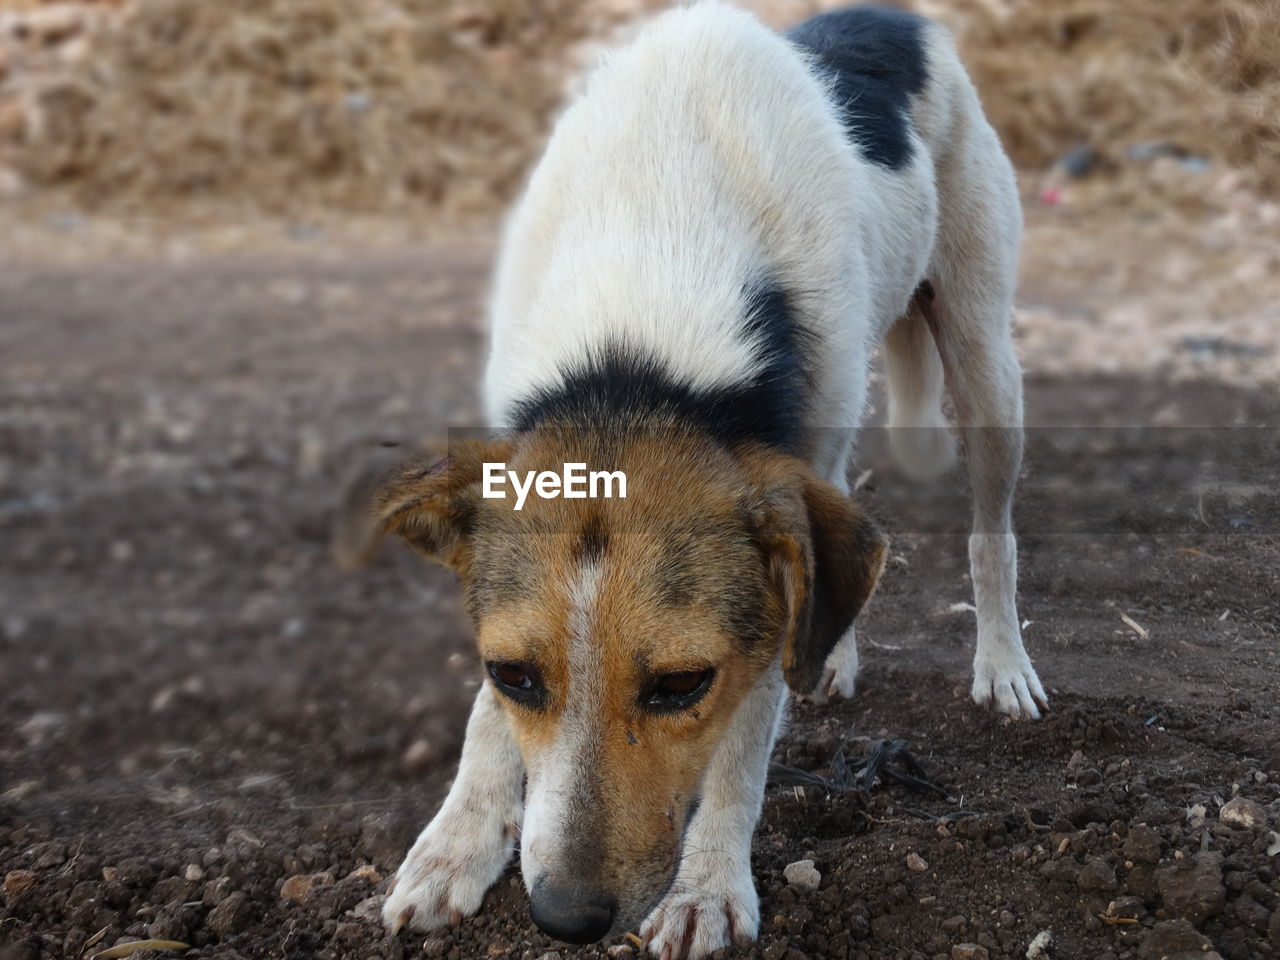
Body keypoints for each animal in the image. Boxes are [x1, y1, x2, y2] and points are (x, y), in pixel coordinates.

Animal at [360, 3, 1049, 957]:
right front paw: (455, 843)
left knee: (990, 535)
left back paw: (1002, 663)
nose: (565, 919)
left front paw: (709, 887)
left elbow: (746, 736)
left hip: (984, 358)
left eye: (682, 685)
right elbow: (480, 720)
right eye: (515, 675)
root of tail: (890, 17)